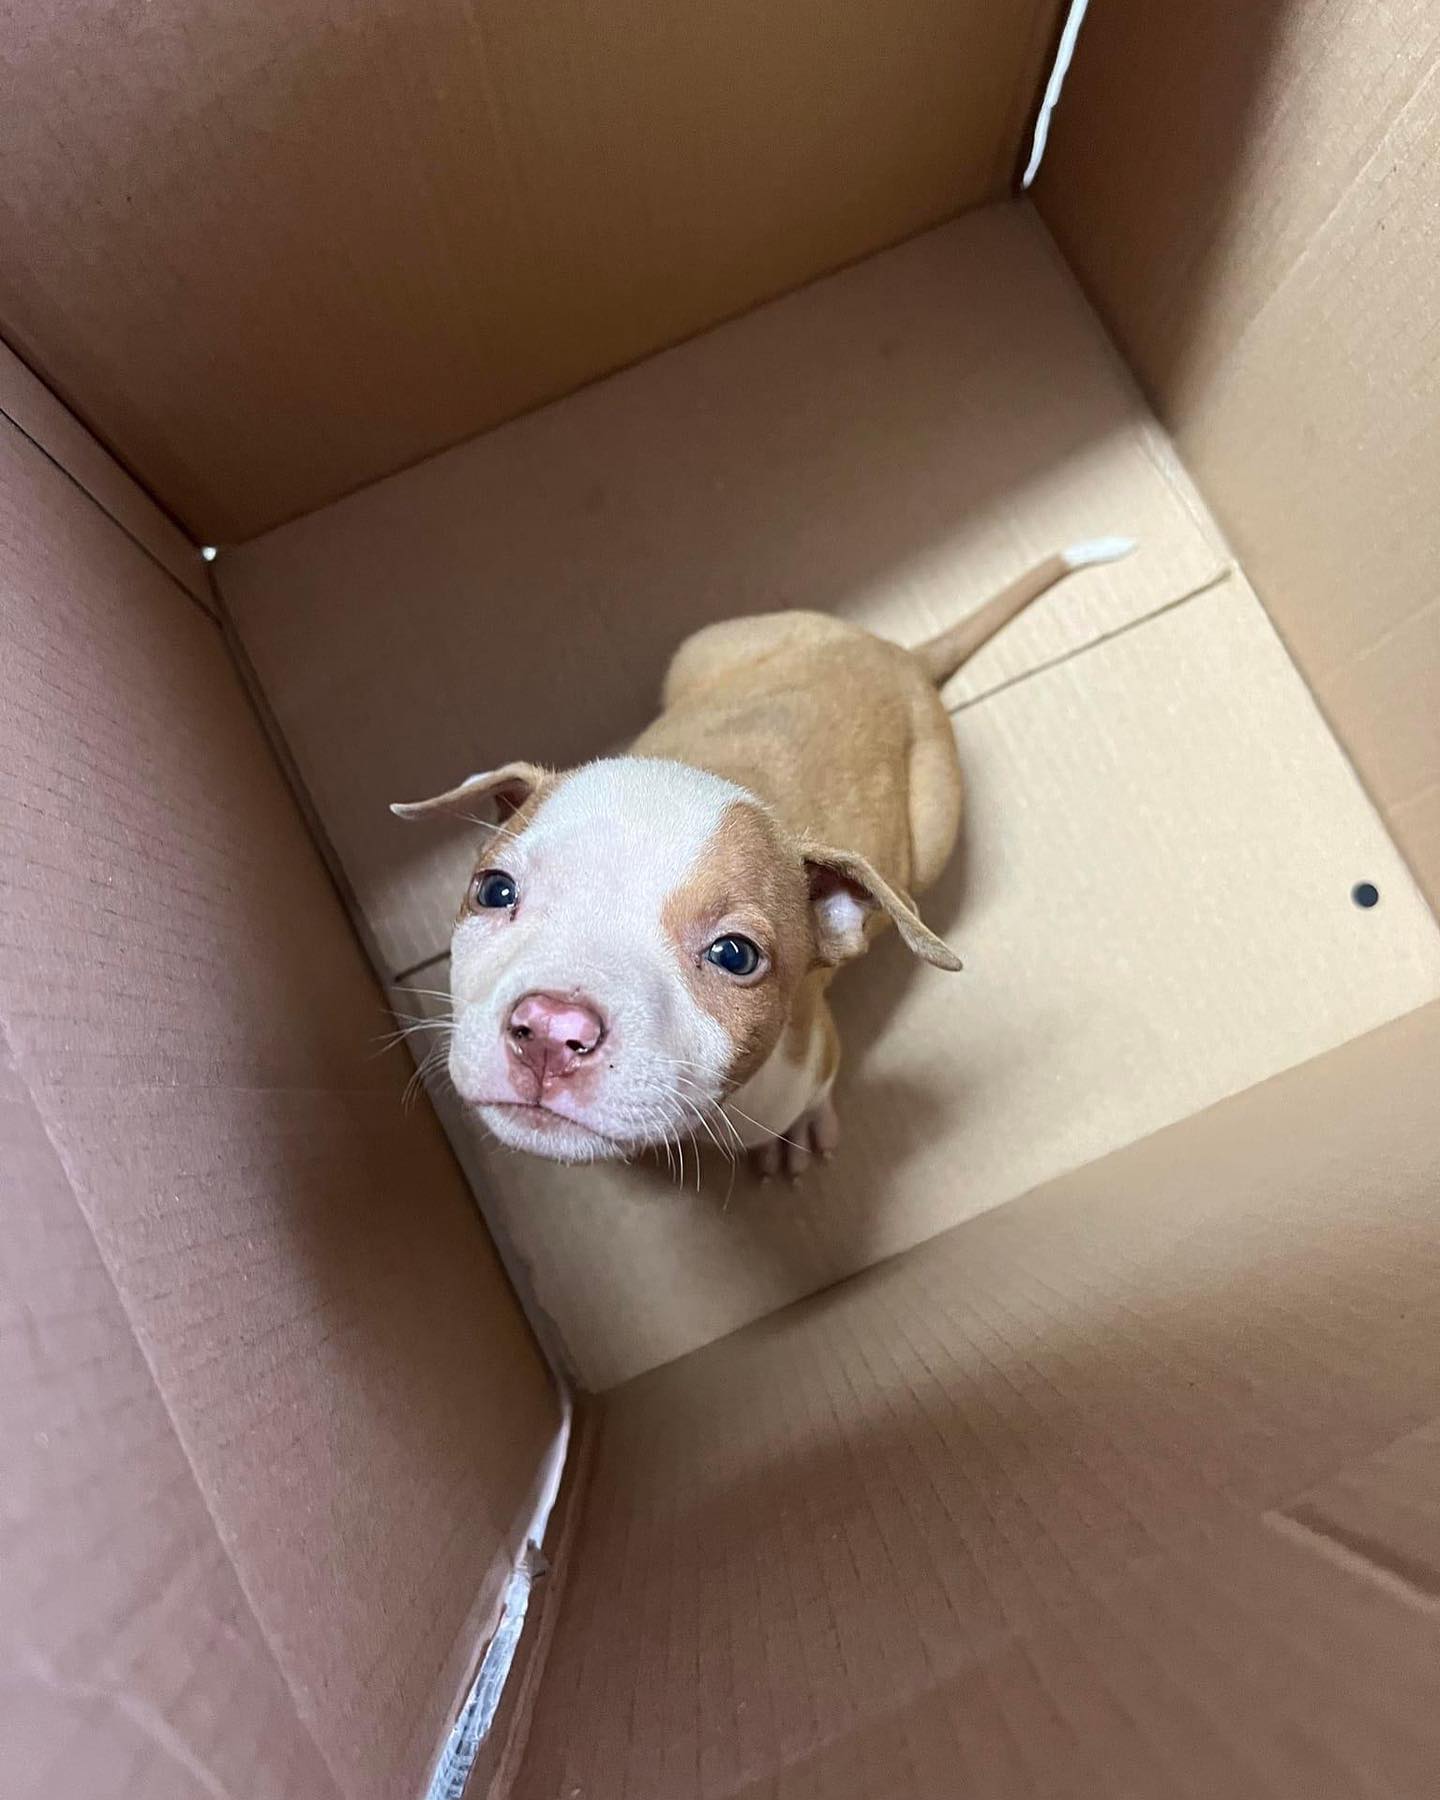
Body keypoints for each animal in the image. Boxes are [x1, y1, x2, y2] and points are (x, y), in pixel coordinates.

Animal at [396, 540, 1137, 1173]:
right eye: (494, 891)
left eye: (735, 956)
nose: (551, 1030)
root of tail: (892, 651)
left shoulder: (811, 1055)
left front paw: (805, 1130)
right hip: (703, 647)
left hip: (933, 827)